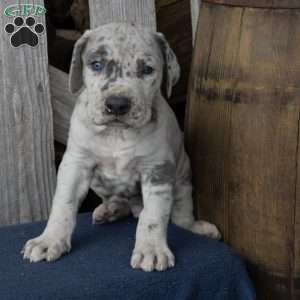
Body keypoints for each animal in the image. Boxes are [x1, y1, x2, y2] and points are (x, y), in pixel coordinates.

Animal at [22, 22, 220, 272]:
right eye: (96, 65)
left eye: (147, 70)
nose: (117, 104)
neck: (116, 134)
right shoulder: (76, 164)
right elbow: (63, 204)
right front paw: (49, 240)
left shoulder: (157, 170)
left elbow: (153, 216)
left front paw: (152, 250)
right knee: (119, 200)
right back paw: (111, 209)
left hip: (183, 176)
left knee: (179, 217)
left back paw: (197, 227)